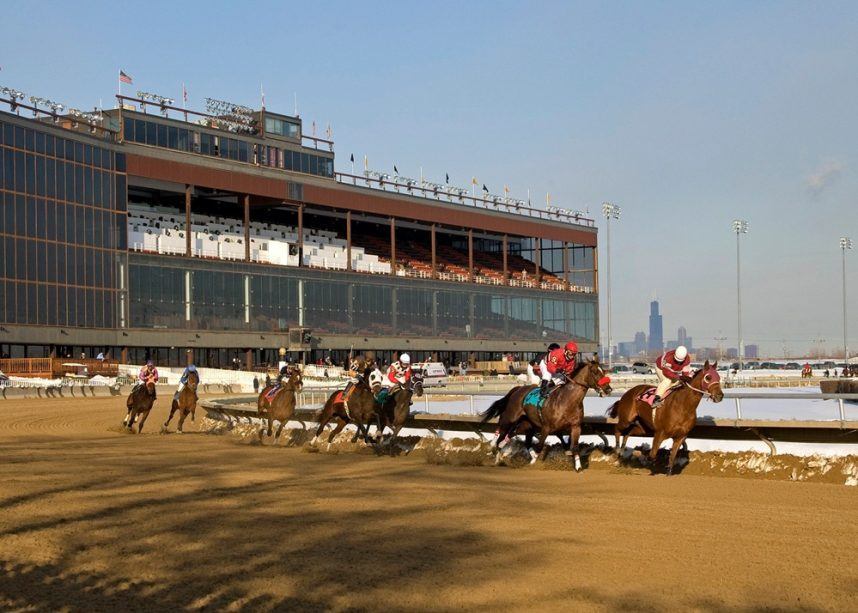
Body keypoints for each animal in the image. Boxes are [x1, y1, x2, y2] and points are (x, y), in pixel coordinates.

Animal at [484, 356, 612, 470]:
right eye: (595, 372)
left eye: (604, 371)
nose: (608, 389)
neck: (567, 400)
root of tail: (518, 389)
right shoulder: (546, 427)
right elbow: (540, 446)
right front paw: (533, 463)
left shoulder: (575, 426)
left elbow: (575, 447)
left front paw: (578, 467)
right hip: (509, 419)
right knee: (501, 436)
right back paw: (496, 456)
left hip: (526, 424)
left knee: (516, 437)